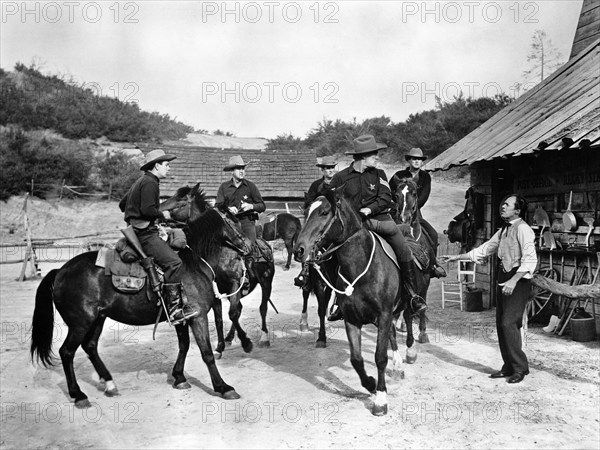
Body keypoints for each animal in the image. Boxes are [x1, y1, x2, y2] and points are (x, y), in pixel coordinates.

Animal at [29, 190, 250, 408]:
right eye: (233, 220)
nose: (248, 246)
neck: (193, 261)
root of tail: (60, 271)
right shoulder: (198, 315)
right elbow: (207, 353)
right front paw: (223, 387)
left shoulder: (182, 316)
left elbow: (184, 345)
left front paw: (179, 377)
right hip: (80, 323)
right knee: (66, 352)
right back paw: (79, 394)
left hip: (98, 318)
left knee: (90, 346)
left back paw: (109, 383)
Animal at [163, 185, 278, 354]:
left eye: (180, 201)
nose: (161, 210)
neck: (219, 252)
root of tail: (266, 246)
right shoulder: (215, 291)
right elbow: (220, 318)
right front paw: (220, 346)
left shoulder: (235, 283)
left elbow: (232, 314)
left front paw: (246, 343)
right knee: (239, 309)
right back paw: (230, 338)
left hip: (266, 282)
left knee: (262, 307)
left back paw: (264, 338)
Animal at [294, 186, 418, 414]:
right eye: (305, 213)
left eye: (324, 212)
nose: (299, 250)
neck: (361, 268)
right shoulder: (352, 319)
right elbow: (356, 359)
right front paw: (370, 384)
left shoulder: (384, 314)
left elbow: (380, 357)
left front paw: (380, 399)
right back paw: (397, 365)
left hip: (405, 303)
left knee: (408, 318)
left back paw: (408, 354)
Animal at [392, 176, 434, 344]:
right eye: (396, 194)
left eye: (414, 193)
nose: (404, 218)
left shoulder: (426, 277)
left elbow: (422, 299)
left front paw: (423, 333)